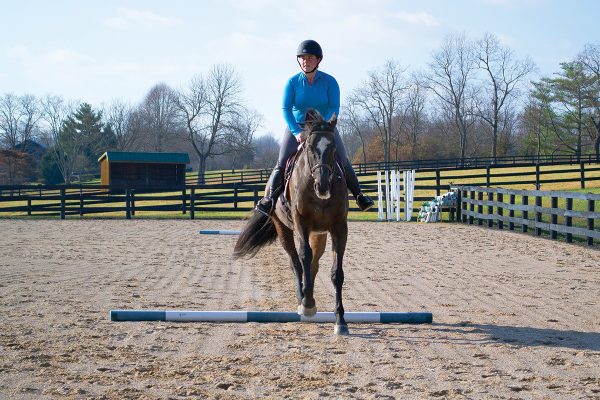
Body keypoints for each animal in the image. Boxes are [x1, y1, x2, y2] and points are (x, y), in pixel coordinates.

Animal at [232, 108, 350, 334]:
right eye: (310, 148)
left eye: (332, 148)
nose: (323, 186)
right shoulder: (301, 223)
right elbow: (303, 257)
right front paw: (307, 304)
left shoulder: (339, 228)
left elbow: (336, 273)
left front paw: (340, 320)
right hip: (283, 229)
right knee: (296, 262)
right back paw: (303, 297)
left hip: (319, 235)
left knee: (313, 265)